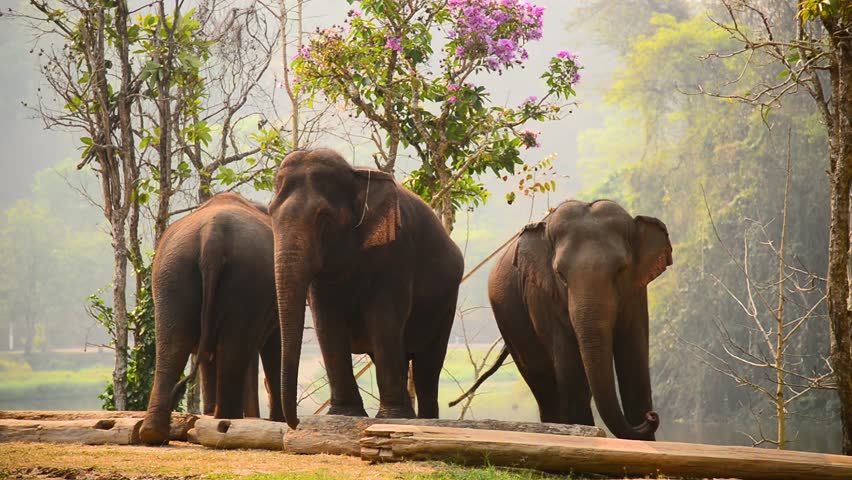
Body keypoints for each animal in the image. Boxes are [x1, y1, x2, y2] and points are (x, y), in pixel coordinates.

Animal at [140, 192, 283, 445]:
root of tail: (212, 235)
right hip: (245, 279)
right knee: (232, 348)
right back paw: (225, 422)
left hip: (171, 275)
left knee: (172, 345)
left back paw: (154, 433)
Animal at [269, 148, 464, 429]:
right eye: (270, 214)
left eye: (323, 217)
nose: (294, 423)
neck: (356, 175)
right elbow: (326, 323)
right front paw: (344, 414)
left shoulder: (396, 252)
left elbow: (384, 320)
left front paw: (392, 417)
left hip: (447, 302)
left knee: (428, 364)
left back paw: (426, 419)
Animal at [450, 199, 672, 441]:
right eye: (560, 274)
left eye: (621, 269)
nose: (651, 416)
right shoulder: (543, 296)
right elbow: (572, 375)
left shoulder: (636, 294)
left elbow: (634, 367)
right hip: (510, 322)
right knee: (543, 383)